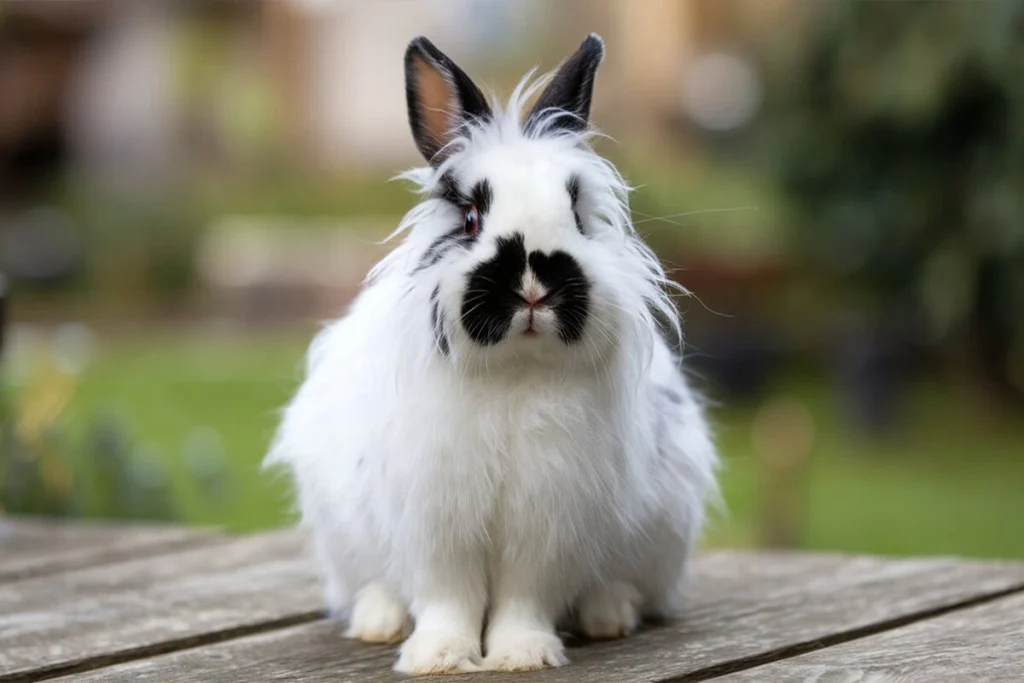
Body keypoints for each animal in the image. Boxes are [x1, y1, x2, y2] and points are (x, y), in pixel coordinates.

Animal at [268, 34, 724, 675]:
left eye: (577, 215)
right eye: (470, 218)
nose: (535, 280)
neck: (515, 371)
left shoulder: (545, 524)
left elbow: (523, 598)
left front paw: (520, 655)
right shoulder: (438, 522)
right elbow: (448, 598)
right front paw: (439, 657)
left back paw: (608, 615)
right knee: (371, 584)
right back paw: (378, 622)